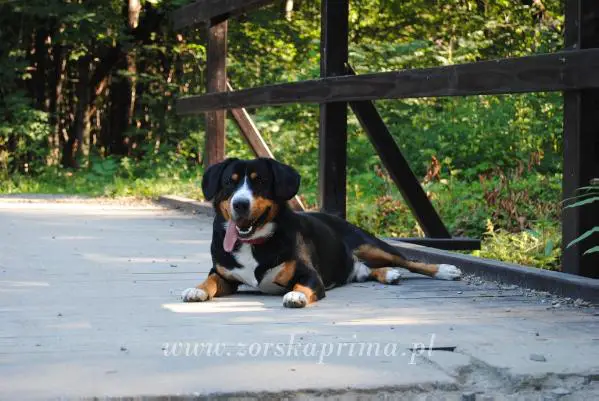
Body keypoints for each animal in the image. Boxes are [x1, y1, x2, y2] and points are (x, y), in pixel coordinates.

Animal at [182, 158, 462, 308]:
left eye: (260, 181)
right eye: (229, 182)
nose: (240, 204)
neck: (255, 243)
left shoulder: (310, 274)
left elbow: (301, 284)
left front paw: (296, 294)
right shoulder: (223, 273)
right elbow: (210, 281)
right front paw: (196, 290)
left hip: (369, 244)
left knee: (408, 261)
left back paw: (444, 270)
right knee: (368, 270)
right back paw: (387, 274)